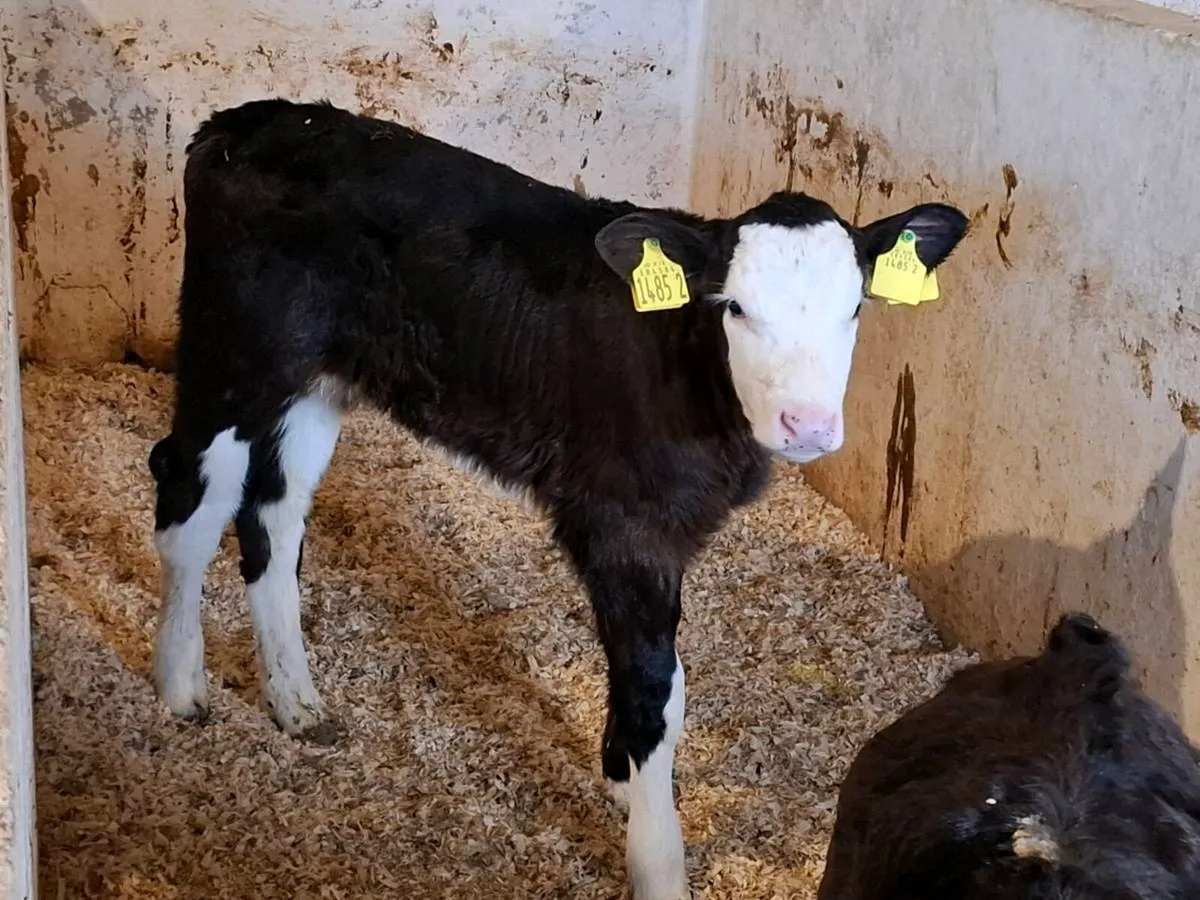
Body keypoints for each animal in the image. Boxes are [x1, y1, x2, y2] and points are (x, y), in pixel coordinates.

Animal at [147, 98, 970, 899]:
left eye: (856, 308)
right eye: (734, 307)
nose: (808, 424)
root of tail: (245, 120)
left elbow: (663, 684)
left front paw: (623, 781)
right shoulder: (623, 522)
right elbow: (653, 689)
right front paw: (657, 862)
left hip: (319, 381)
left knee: (274, 513)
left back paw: (294, 699)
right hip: (234, 347)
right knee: (189, 496)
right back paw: (180, 684)